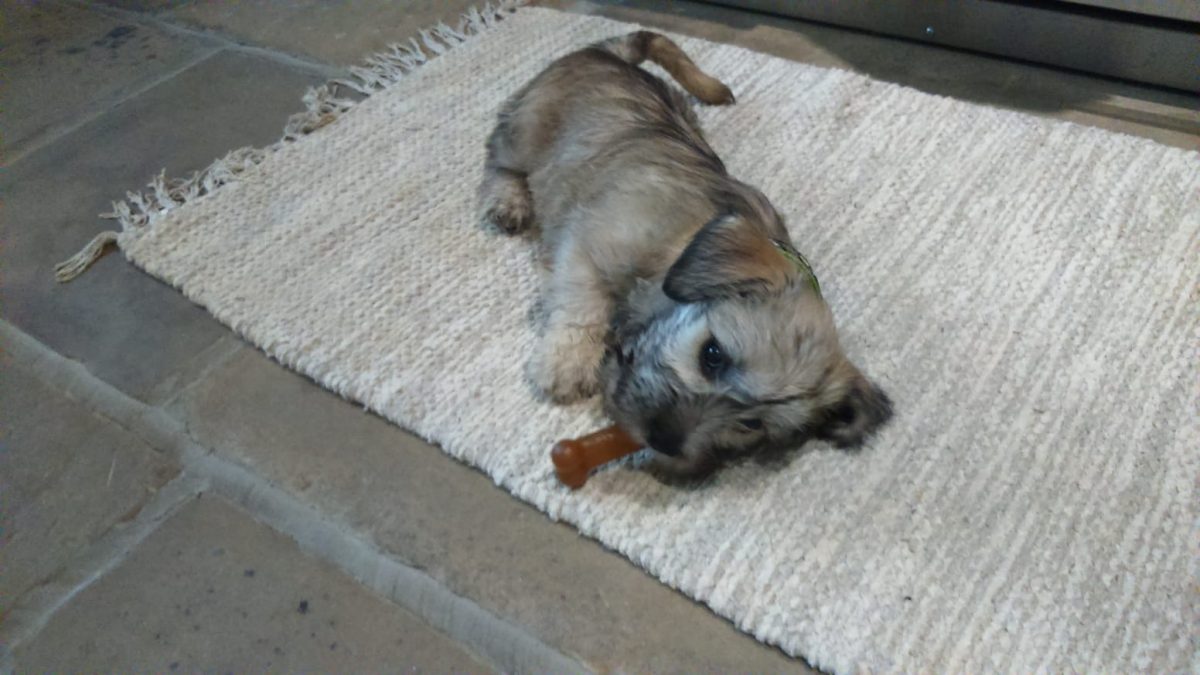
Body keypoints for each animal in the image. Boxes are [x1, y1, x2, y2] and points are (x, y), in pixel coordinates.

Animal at [477, 30, 892, 473]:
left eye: (751, 425)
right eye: (712, 355)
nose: (664, 441)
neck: (676, 249)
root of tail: (609, 53)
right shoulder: (588, 249)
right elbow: (582, 306)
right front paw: (567, 362)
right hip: (525, 131)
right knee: (498, 158)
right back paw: (508, 200)